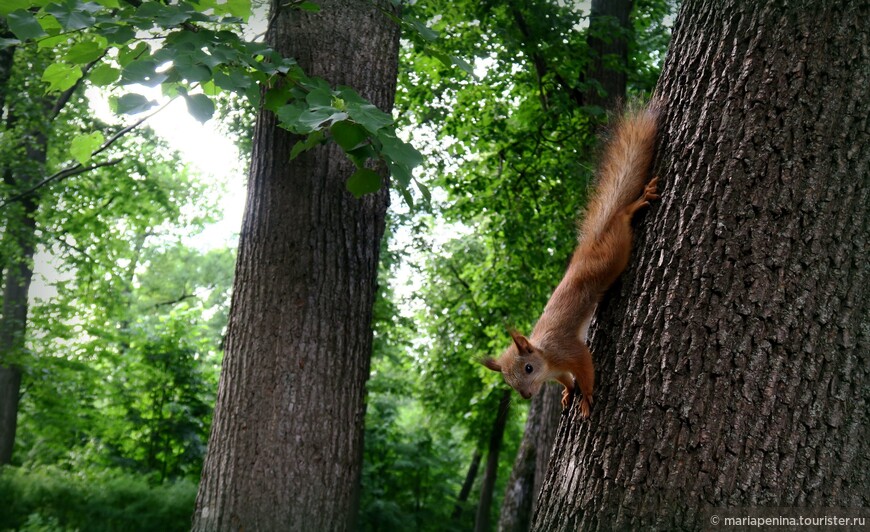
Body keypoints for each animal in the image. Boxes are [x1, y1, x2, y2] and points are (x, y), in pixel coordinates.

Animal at [484, 104, 660, 420]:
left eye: (528, 368)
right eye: (509, 382)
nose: (526, 395)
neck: (546, 359)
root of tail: (589, 245)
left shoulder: (569, 351)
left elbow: (586, 369)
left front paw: (587, 397)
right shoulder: (556, 371)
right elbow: (566, 379)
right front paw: (568, 392)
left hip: (613, 254)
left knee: (621, 221)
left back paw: (634, 206)